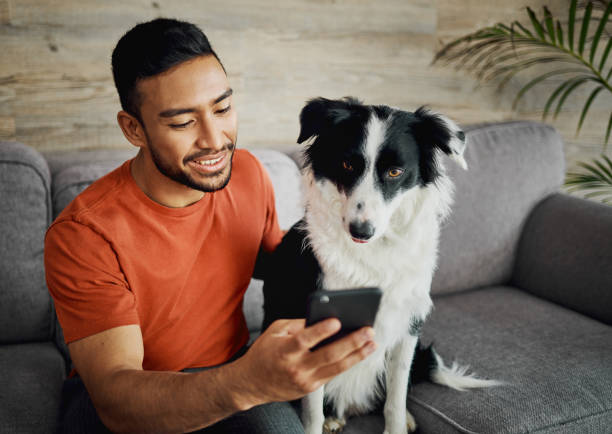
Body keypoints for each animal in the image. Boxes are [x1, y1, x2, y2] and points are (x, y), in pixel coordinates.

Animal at [262, 97, 498, 434]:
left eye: (395, 171)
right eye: (347, 165)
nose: (361, 231)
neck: (374, 253)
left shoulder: (408, 324)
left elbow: (396, 397)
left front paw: (397, 425)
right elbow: (312, 408)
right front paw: (316, 423)